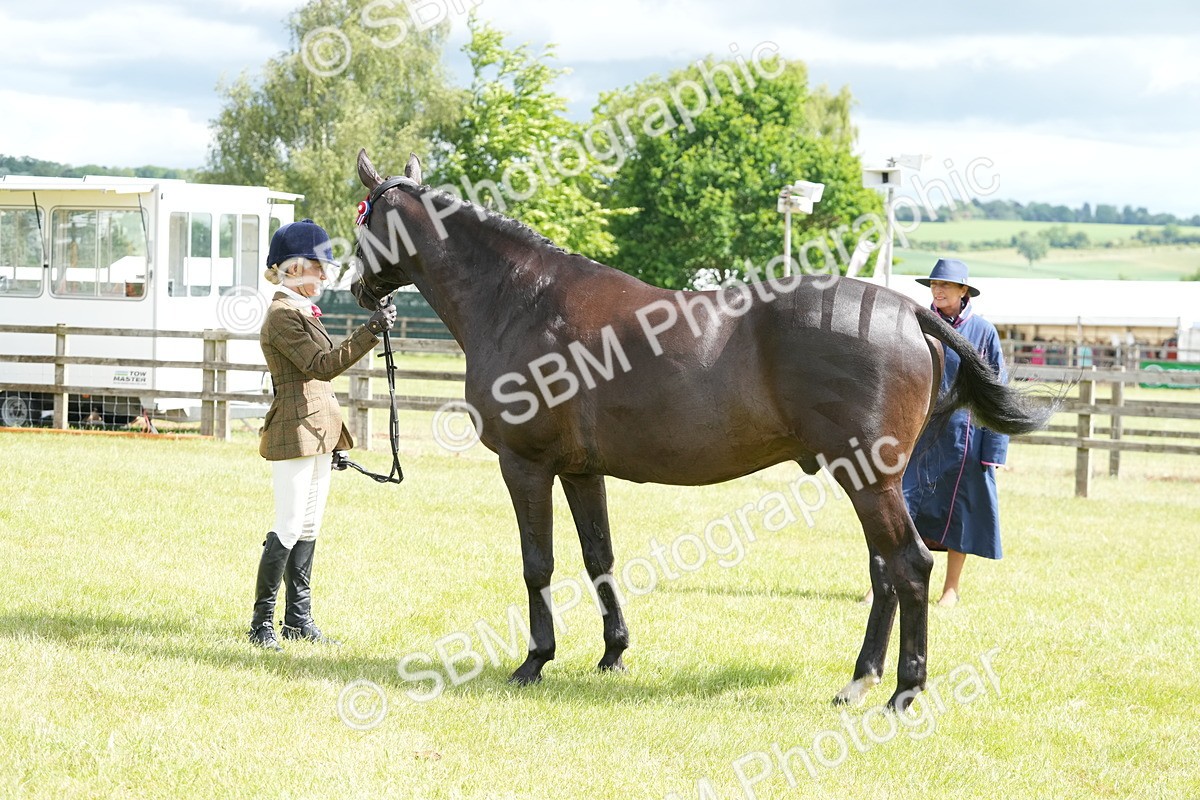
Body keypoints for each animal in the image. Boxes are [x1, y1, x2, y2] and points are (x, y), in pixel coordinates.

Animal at [350, 150, 1055, 709]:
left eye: (361, 217)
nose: (358, 289)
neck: (521, 299)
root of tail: (910, 311)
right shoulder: (581, 470)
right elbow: (599, 556)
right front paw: (613, 654)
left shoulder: (526, 464)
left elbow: (537, 563)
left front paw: (534, 661)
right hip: (873, 479)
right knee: (885, 570)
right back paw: (860, 680)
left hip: (870, 479)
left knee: (909, 564)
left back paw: (904, 691)